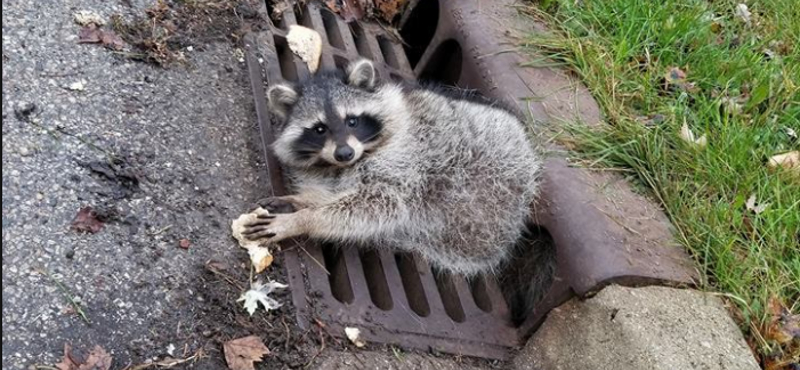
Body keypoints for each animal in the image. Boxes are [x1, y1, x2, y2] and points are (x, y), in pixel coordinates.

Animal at [242, 58, 544, 278]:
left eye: (352, 121)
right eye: (319, 129)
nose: (344, 153)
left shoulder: (405, 164)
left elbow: (381, 204)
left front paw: (303, 219)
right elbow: (336, 193)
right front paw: (301, 200)